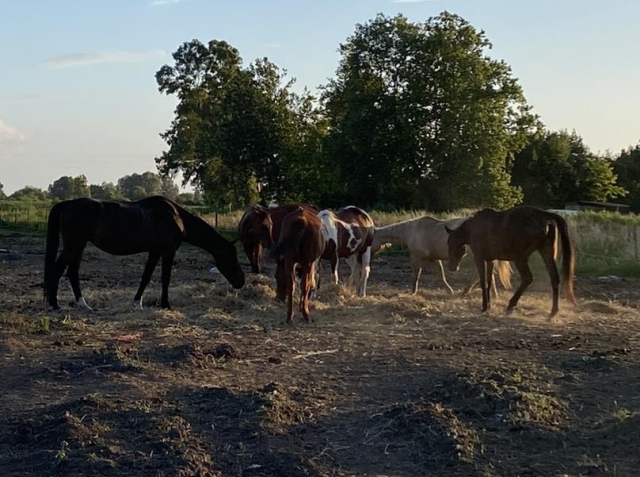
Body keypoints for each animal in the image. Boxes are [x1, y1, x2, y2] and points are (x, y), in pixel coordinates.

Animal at [44, 196, 245, 311]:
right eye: (232, 258)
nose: (241, 282)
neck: (176, 217)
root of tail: (68, 204)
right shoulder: (168, 252)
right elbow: (165, 278)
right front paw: (166, 304)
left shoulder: (154, 252)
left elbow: (146, 277)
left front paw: (137, 303)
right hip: (73, 246)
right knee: (57, 271)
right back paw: (55, 305)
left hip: (79, 247)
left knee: (72, 273)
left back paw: (83, 305)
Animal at [371, 215, 512, 297]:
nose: (369, 255)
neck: (410, 232)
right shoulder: (433, 259)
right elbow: (440, 276)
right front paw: (450, 291)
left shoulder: (416, 258)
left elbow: (415, 275)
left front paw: (413, 292)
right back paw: (492, 294)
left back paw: (466, 292)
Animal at [445, 205, 576, 318]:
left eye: (450, 243)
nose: (451, 267)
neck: (473, 228)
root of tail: (544, 215)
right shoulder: (490, 260)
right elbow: (489, 282)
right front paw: (488, 306)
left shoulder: (479, 258)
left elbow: (483, 283)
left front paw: (484, 307)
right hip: (546, 252)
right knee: (554, 279)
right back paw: (553, 312)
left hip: (520, 258)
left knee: (527, 278)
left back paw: (511, 305)